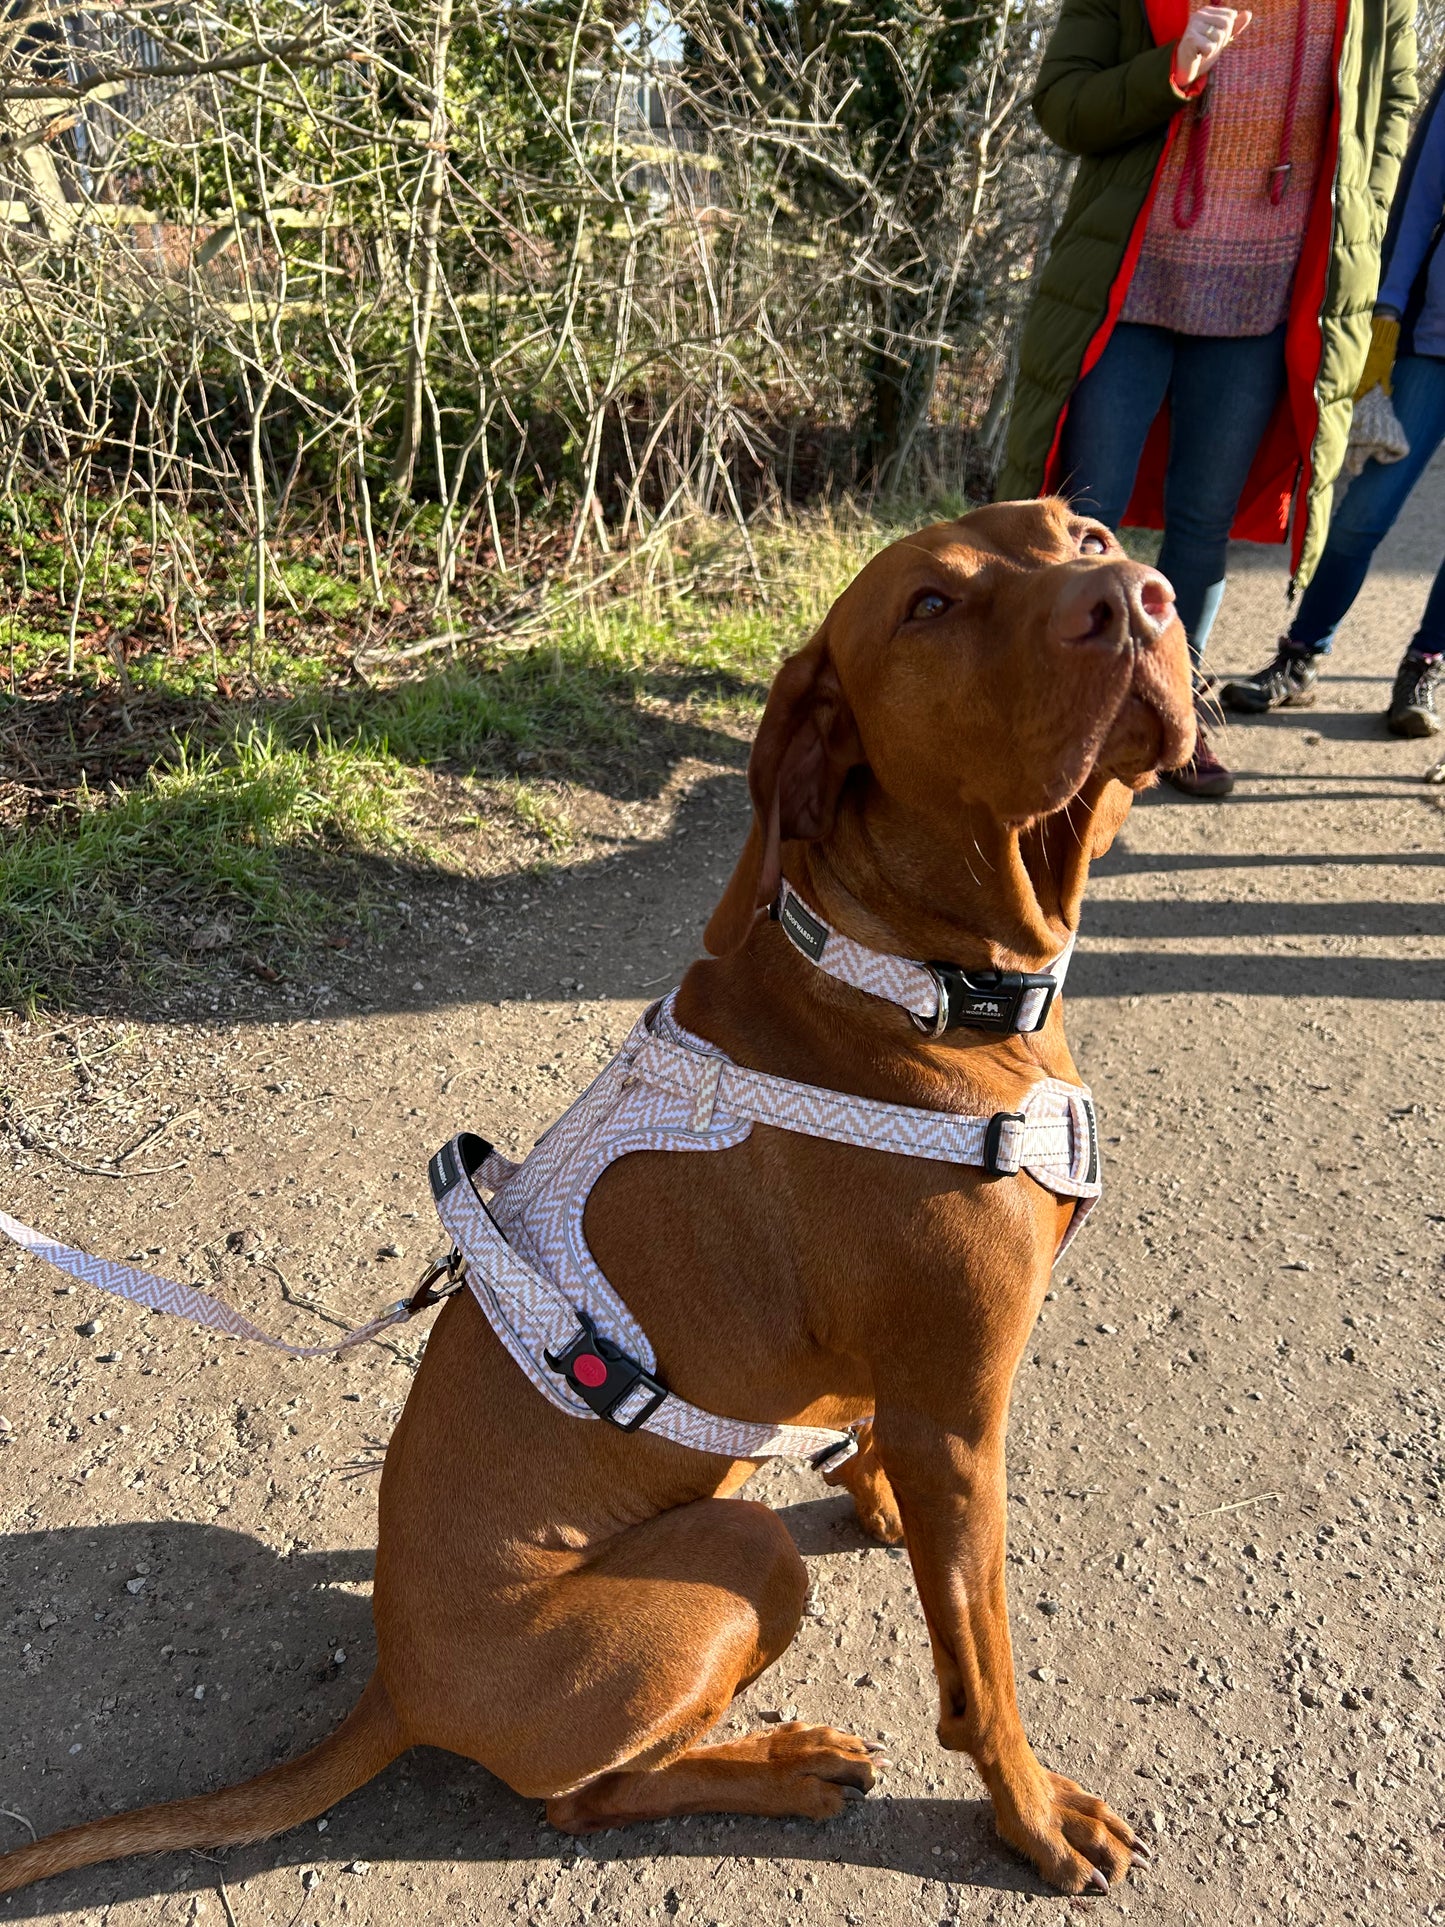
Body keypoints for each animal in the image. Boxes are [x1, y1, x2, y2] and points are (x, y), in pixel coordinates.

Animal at [0, 497, 1202, 1896]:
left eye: (1085, 533)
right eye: (928, 607)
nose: (1136, 598)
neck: (903, 978)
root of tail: (393, 1686)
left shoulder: (904, 1394)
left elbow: (860, 1439)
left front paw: (869, 1493)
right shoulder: (959, 1415)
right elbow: (982, 1671)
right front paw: (1030, 1814)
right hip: (738, 1558)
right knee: (583, 1798)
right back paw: (780, 1768)